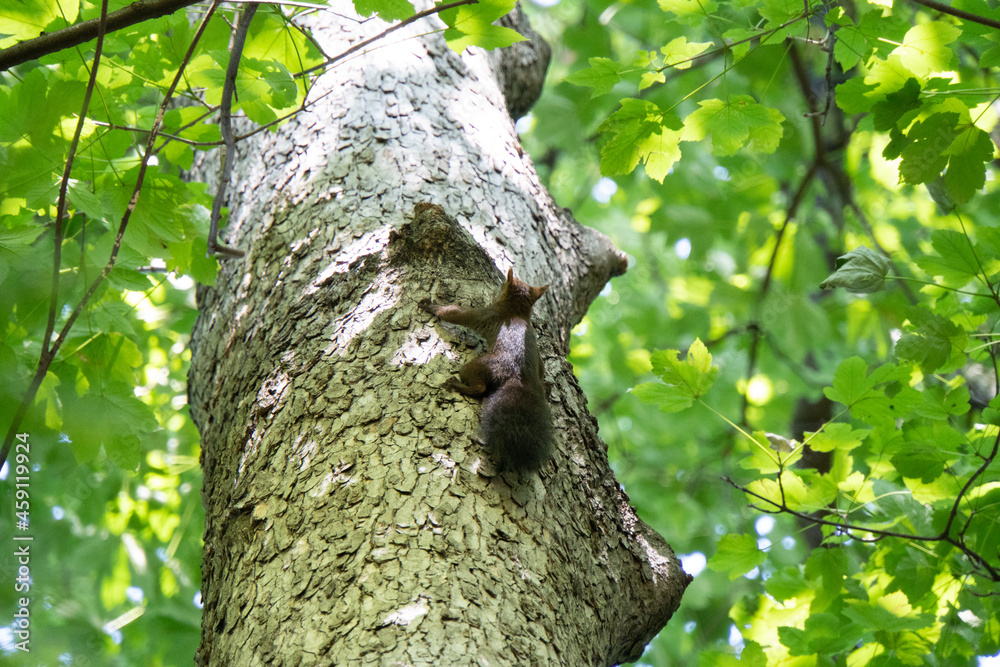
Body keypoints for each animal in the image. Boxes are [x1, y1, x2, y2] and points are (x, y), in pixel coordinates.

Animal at [421, 268, 554, 472]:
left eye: (504, 283)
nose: (500, 284)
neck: (516, 311)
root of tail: (519, 379)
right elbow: (541, 365)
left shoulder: (485, 314)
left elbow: (455, 314)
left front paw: (430, 306)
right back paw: (546, 387)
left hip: (480, 366)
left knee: (479, 387)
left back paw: (458, 385)